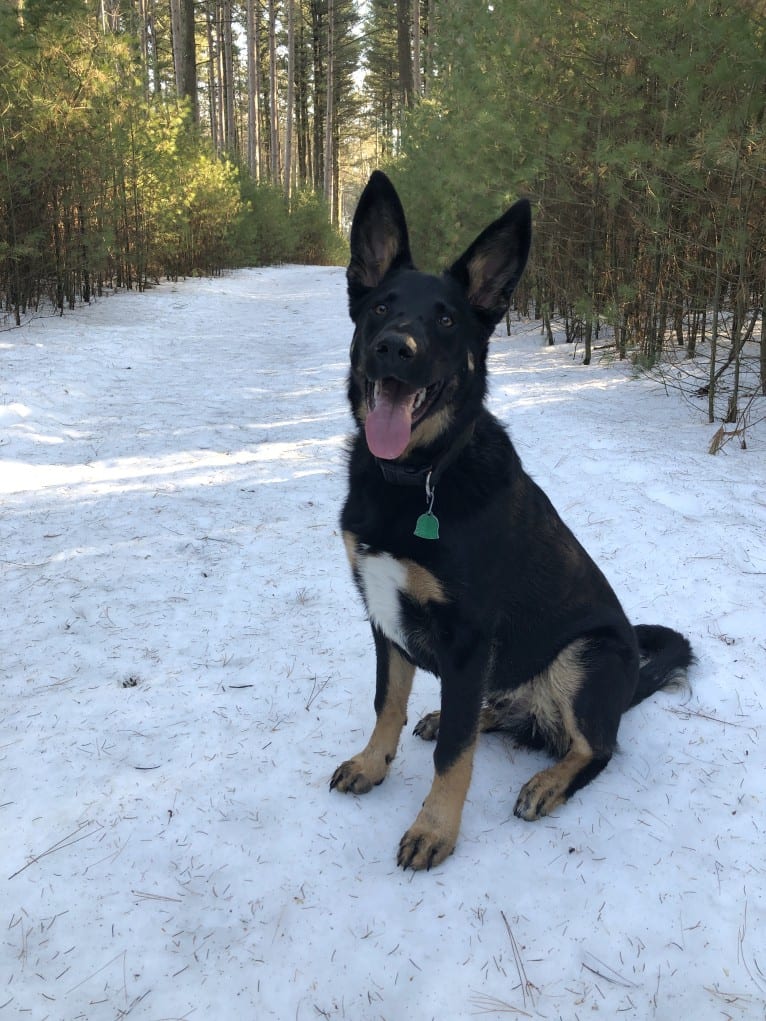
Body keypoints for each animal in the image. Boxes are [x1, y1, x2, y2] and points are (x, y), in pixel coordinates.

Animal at [330, 169, 694, 869]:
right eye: (381, 307)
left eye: (446, 319)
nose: (393, 348)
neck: (421, 478)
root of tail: (631, 682)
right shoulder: (384, 617)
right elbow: (387, 703)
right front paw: (372, 764)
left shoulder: (468, 637)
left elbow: (454, 758)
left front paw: (434, 829)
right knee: (491, 713)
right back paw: (466, 716)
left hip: (586, 654)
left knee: (596, 747)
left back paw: (548, 783)